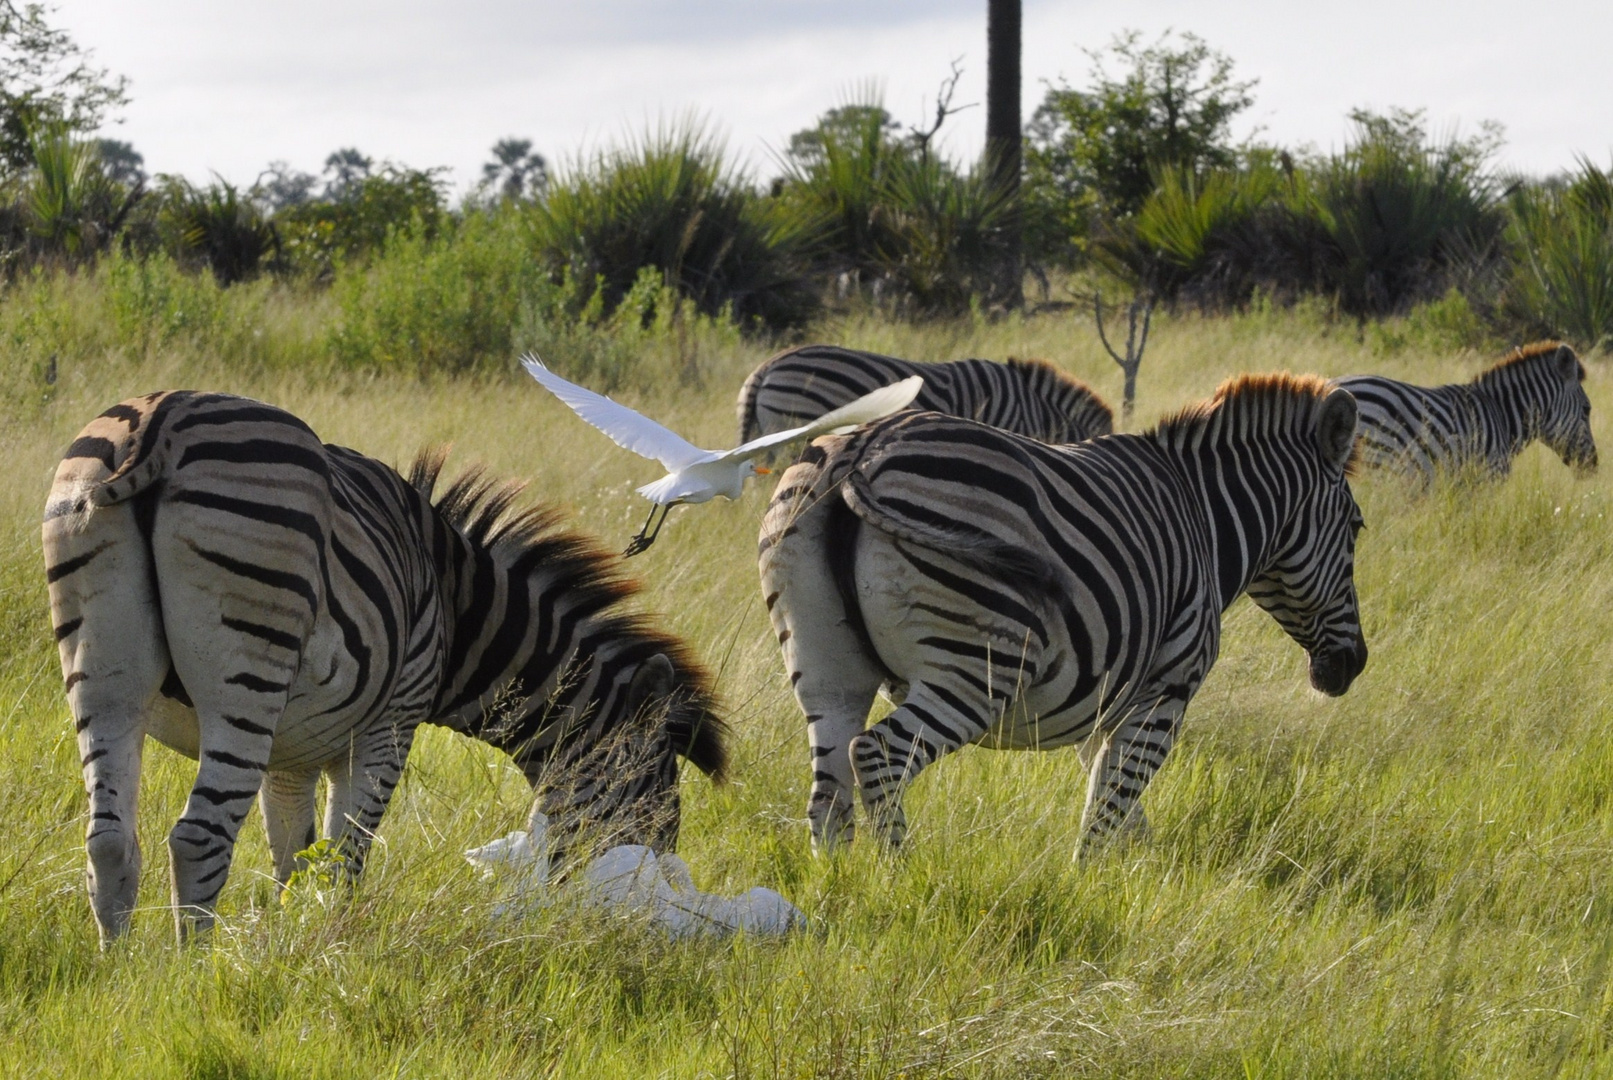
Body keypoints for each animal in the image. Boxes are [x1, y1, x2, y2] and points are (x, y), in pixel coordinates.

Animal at [44, 393, 729, 941]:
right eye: (658, 789)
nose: (647, 894)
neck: (458, 606)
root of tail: (159, 423)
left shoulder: (291, 754)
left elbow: (295, 856)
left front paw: (286, 945)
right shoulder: (387, 729)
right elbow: (345, 859)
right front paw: (329, 949)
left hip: (100, 671)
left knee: (109, 840)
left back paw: (122, 975)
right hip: (248, 669)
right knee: (198, 836)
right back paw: (193, 976)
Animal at [761, 377, 1367, 857]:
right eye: (1357, 528)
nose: (1354, 665)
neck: (1203, 519)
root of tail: (862, 448)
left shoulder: (1103, 697)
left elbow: (1113, 797)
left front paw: (1135, 874)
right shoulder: (1169, 686)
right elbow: (1113, 800)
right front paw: (1093, 885)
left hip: (823, 662)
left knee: (828, 792)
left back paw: (845, 891)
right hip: (978, 664)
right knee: (879, 757)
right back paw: (899, 881)